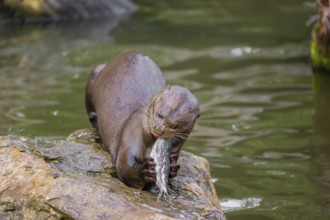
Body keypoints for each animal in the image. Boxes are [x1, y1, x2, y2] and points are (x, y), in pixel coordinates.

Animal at [85, 52, 200, 189]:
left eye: (175, 126)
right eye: (160, 114)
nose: (159, 129)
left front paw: (173, 167)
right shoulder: (130, 137)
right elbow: (124, 167)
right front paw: (144, 171)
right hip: (95, 72)